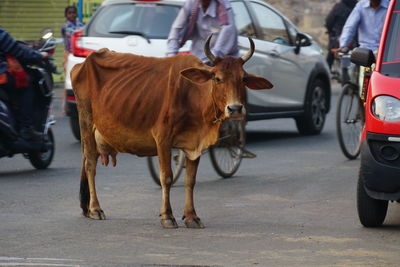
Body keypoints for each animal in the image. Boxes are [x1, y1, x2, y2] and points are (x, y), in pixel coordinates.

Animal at [71, 35, 272, 228]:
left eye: (243, 79)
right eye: (217, 78)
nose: (235, 108)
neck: (193, 96)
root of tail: (83, 64)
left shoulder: (195, 143)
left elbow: (190, 180)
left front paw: (191, 216)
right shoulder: (163, 139)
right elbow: (166, 177)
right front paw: (167, 216)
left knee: (86, 161)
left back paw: (86, 208)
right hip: (86, 122)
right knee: (90, 164)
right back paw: (95, 208)